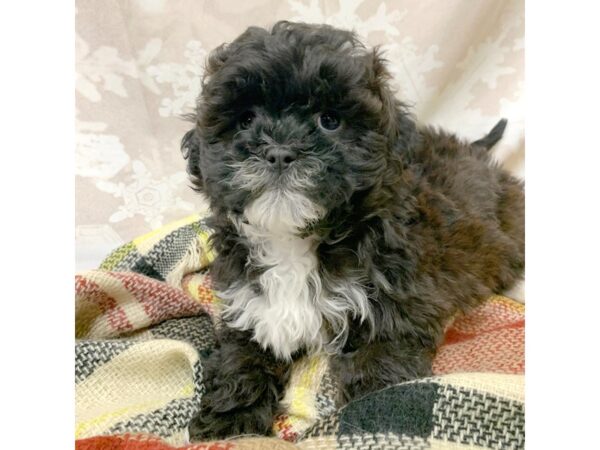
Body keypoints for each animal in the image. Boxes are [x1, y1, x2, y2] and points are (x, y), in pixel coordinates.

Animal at [180, 22, 524, 440]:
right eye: (245, 120)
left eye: (330, 120)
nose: (279, 152)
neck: (296, 239)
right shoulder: (249, 302)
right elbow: (241, 356)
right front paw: (231, 418)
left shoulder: (395, 303)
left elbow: (379, 362)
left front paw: (373, 419)